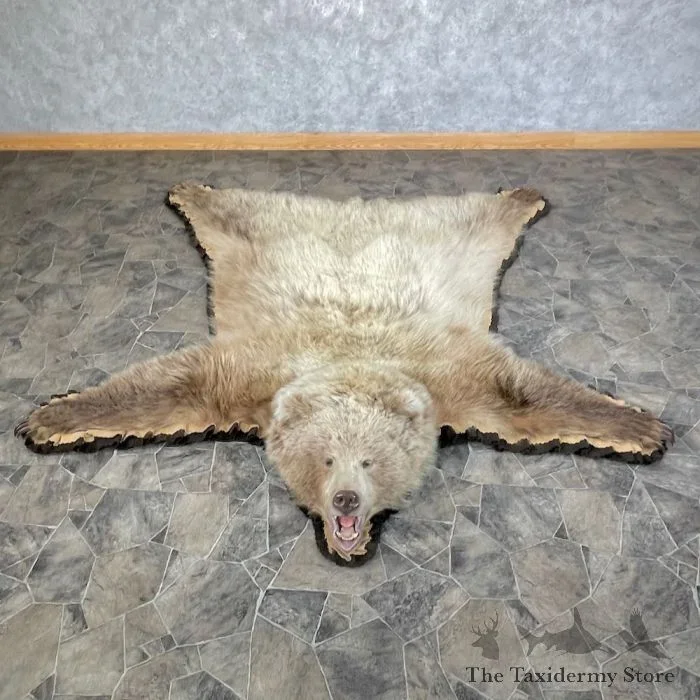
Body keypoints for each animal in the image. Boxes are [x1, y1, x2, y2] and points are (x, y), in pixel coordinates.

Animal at [15, 183, 673, 563]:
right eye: (326, 458)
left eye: (371, 461)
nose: (346, 503)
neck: (351, 359)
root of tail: (353, 211)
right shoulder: (250, 371)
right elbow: (175, 384)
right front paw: (54, 417)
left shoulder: (451, 373)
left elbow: (520, 393)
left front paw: (640, 430)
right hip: (259, 228)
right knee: (231, 207)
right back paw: (187, 188)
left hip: (455, 233)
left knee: (480, 211)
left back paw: (523, 194)